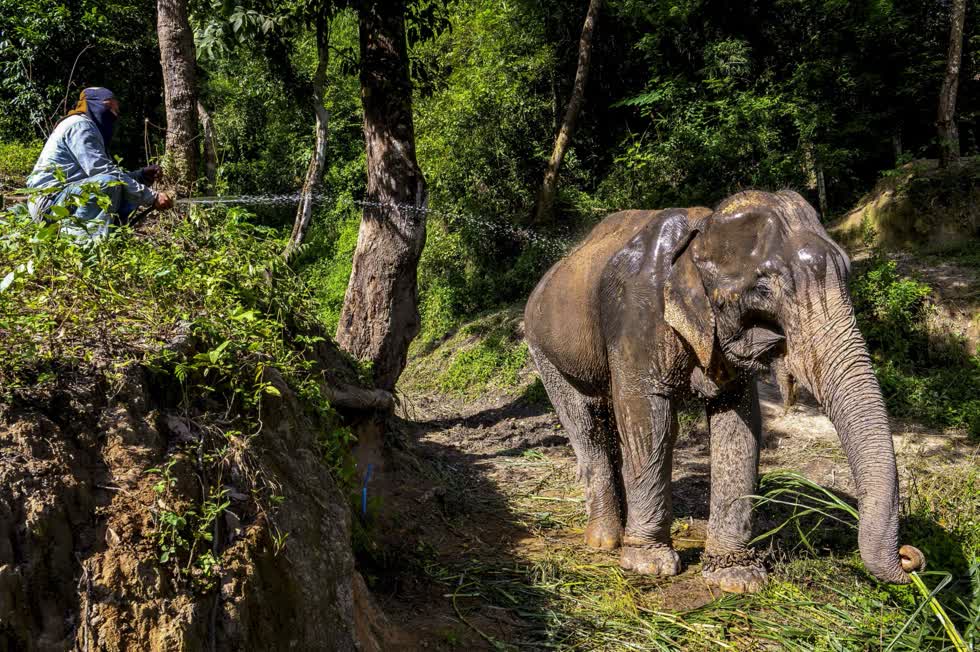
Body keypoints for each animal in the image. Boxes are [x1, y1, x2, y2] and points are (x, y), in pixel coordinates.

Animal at [524, 190, 924, 596]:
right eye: (763, 290)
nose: (911, 557)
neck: (700, 230)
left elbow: (738, 424)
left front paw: (737, 578)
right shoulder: (634, 315)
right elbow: (648, 417)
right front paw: (648, 564)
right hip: (543, 350)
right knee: (586, 427)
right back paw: (606, 540)